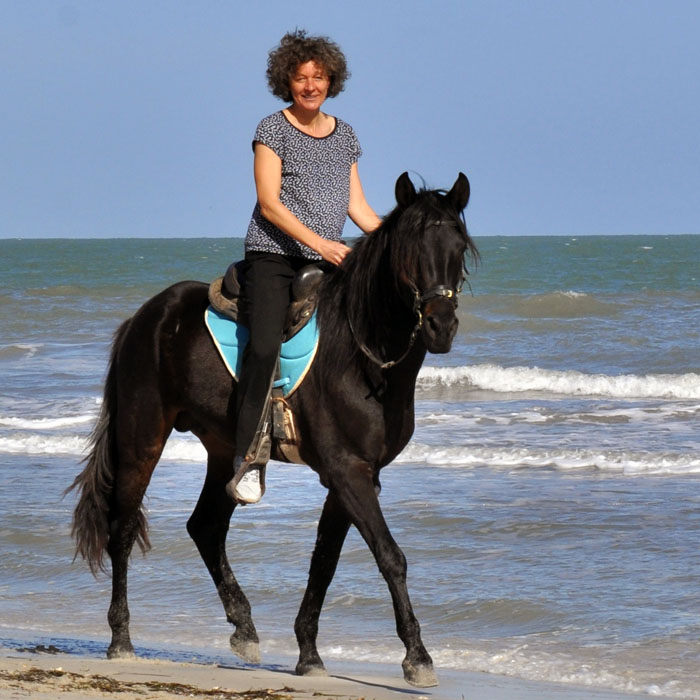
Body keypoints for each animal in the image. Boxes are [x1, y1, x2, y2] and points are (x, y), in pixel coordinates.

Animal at [68, 171, 478, 688]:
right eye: (409, 250)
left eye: (458, 248)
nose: (441, 327)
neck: (360, 354)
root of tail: (144, 317)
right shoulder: (348, 472)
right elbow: (390, 556)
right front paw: (417, 657)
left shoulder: (355, 476)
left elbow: (324, 562)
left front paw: (309, 653)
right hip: (142, 438)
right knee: (121, 530)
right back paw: (121, 640)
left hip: (225, 448)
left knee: (205, 526)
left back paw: (244, 628)